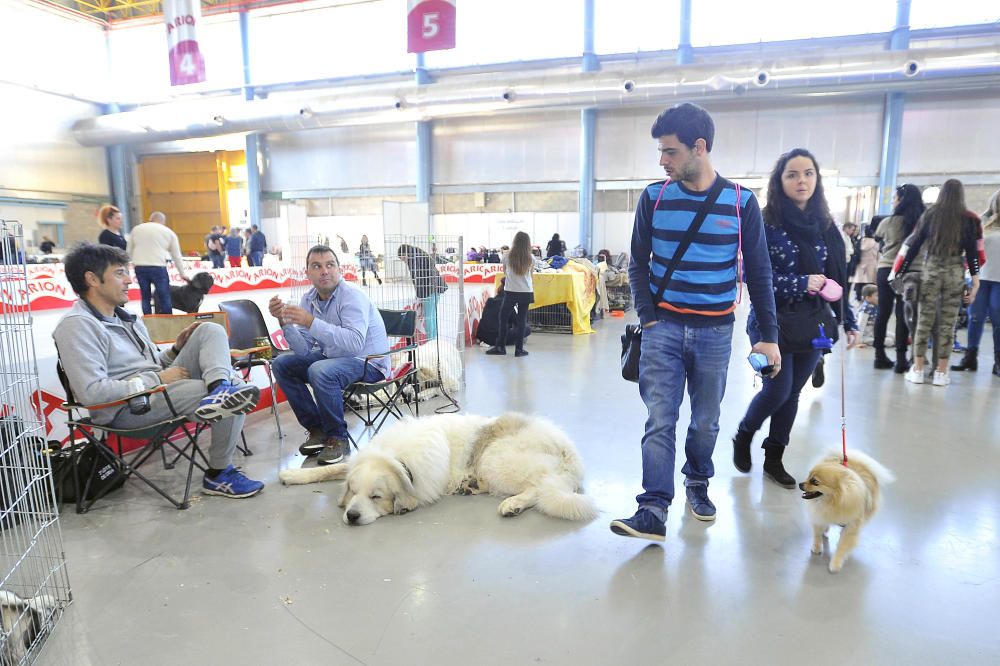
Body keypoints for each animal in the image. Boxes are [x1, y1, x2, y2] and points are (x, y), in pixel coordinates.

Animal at [278, 410, 596, 524]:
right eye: (353, 492)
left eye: (376, 497)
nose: (352, 516)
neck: (397, 458)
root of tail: (569, 451)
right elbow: (332, 469)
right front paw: (293, 474)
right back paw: (471, 486)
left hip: (496, 459)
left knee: (539, 488)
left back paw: (512, 504)